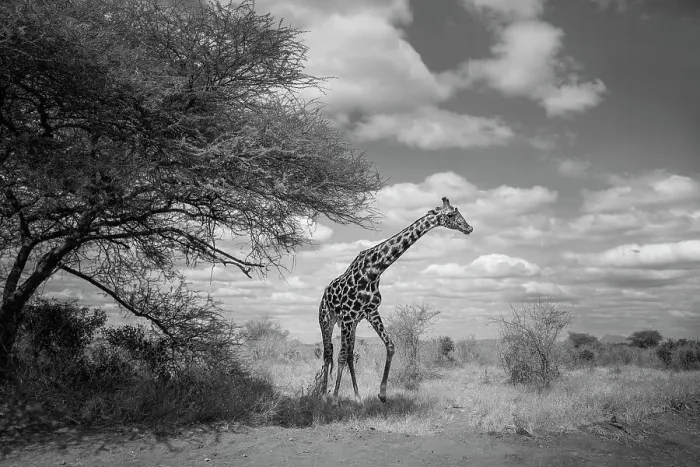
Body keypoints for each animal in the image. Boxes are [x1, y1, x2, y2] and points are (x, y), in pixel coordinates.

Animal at [318, 197, 473, 405]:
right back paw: (323, 396)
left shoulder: (370, 312)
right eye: (450, 215)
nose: (469, 227)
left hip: (353, 324)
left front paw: (382, 393)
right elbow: (340, 356)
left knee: (349, 354)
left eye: (459, 213)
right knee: (328, 354)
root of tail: (324, 293)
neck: (375, 270)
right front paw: (335, 400)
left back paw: (357, 398)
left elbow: (390, 346)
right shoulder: (349, 315)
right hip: (328, 320)